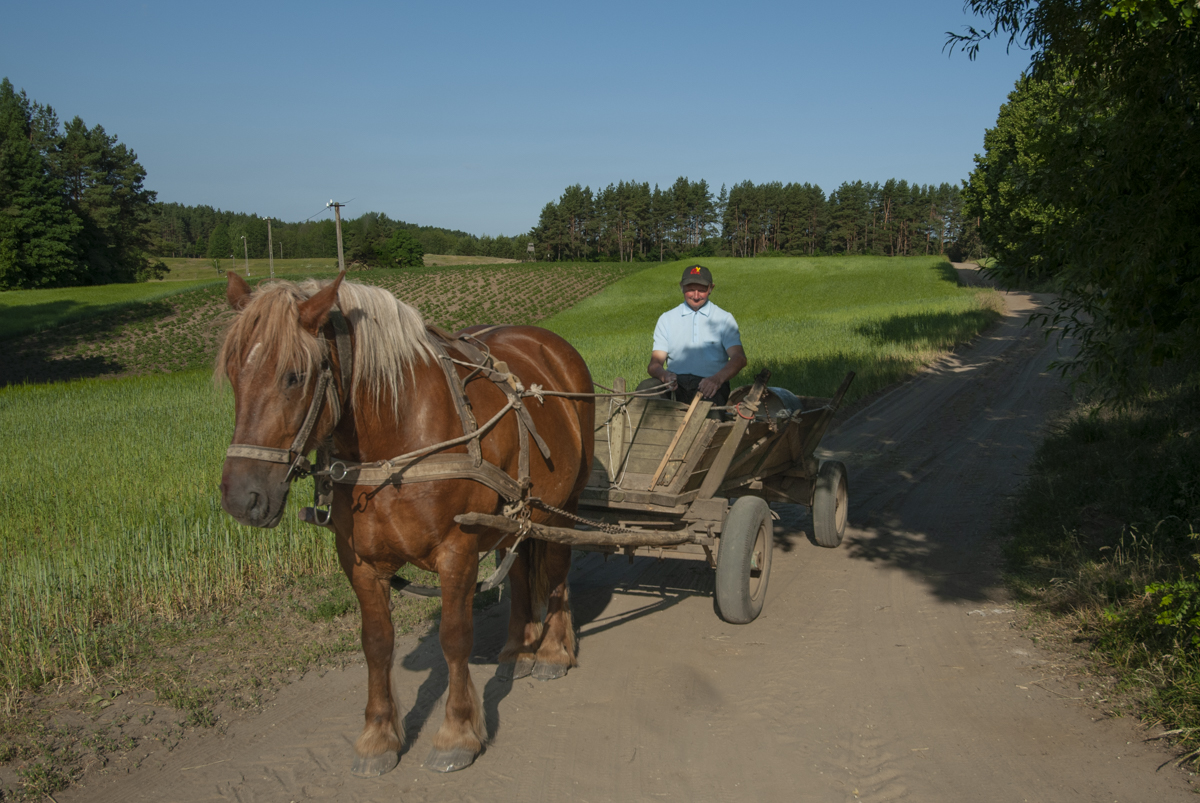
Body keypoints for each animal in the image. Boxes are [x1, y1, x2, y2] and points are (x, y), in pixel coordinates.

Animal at [216, 272, 595, 772]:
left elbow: (454, 637)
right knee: (519, 575)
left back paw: (553, 649)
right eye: (233, 373)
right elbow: (376, 643)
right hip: (516, 517)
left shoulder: (457, 550)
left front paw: (457, 733)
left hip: (563, 501)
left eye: (294, 376)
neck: (395, 441)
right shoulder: (358, 560)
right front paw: (378, 737)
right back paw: (518, 650)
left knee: (555, 570)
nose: (242, 498)